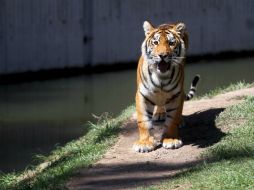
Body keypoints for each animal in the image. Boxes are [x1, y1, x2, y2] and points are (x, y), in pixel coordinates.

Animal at [134, 20, 199, 152]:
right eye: (155, 42)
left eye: (171, 43)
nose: (162, 55)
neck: (161, 77)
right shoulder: (142, 95)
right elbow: (143, 120)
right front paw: (145, 143)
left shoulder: (176, 96)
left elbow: (172, 119)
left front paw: (171, 140)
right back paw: (159, 114)